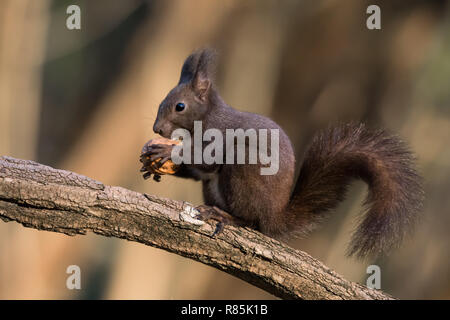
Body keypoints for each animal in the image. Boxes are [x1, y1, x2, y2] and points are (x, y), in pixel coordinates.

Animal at [140, 48, 422, 258]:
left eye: (180, 106)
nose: (157, 129)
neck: (204, 119)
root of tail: (274, 216)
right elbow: (198, 171)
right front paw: (153, 161)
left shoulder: (219, 136)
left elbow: (206, 161)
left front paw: (166, 151)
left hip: (244, 169)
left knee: (251, 222)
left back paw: (225, 216)